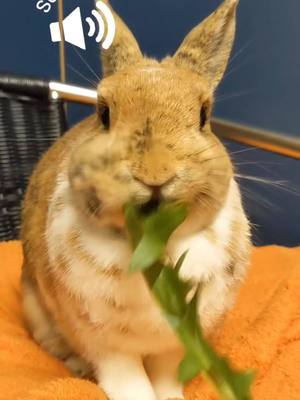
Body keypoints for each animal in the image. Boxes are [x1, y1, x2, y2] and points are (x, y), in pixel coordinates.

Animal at [21, 1, 251, 398]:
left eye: (204, 115)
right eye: (103, 113)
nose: (155, 174)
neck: (155, 244)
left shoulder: (176, 346)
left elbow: (166, 377)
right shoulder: (104, 344)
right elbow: (127, 380)